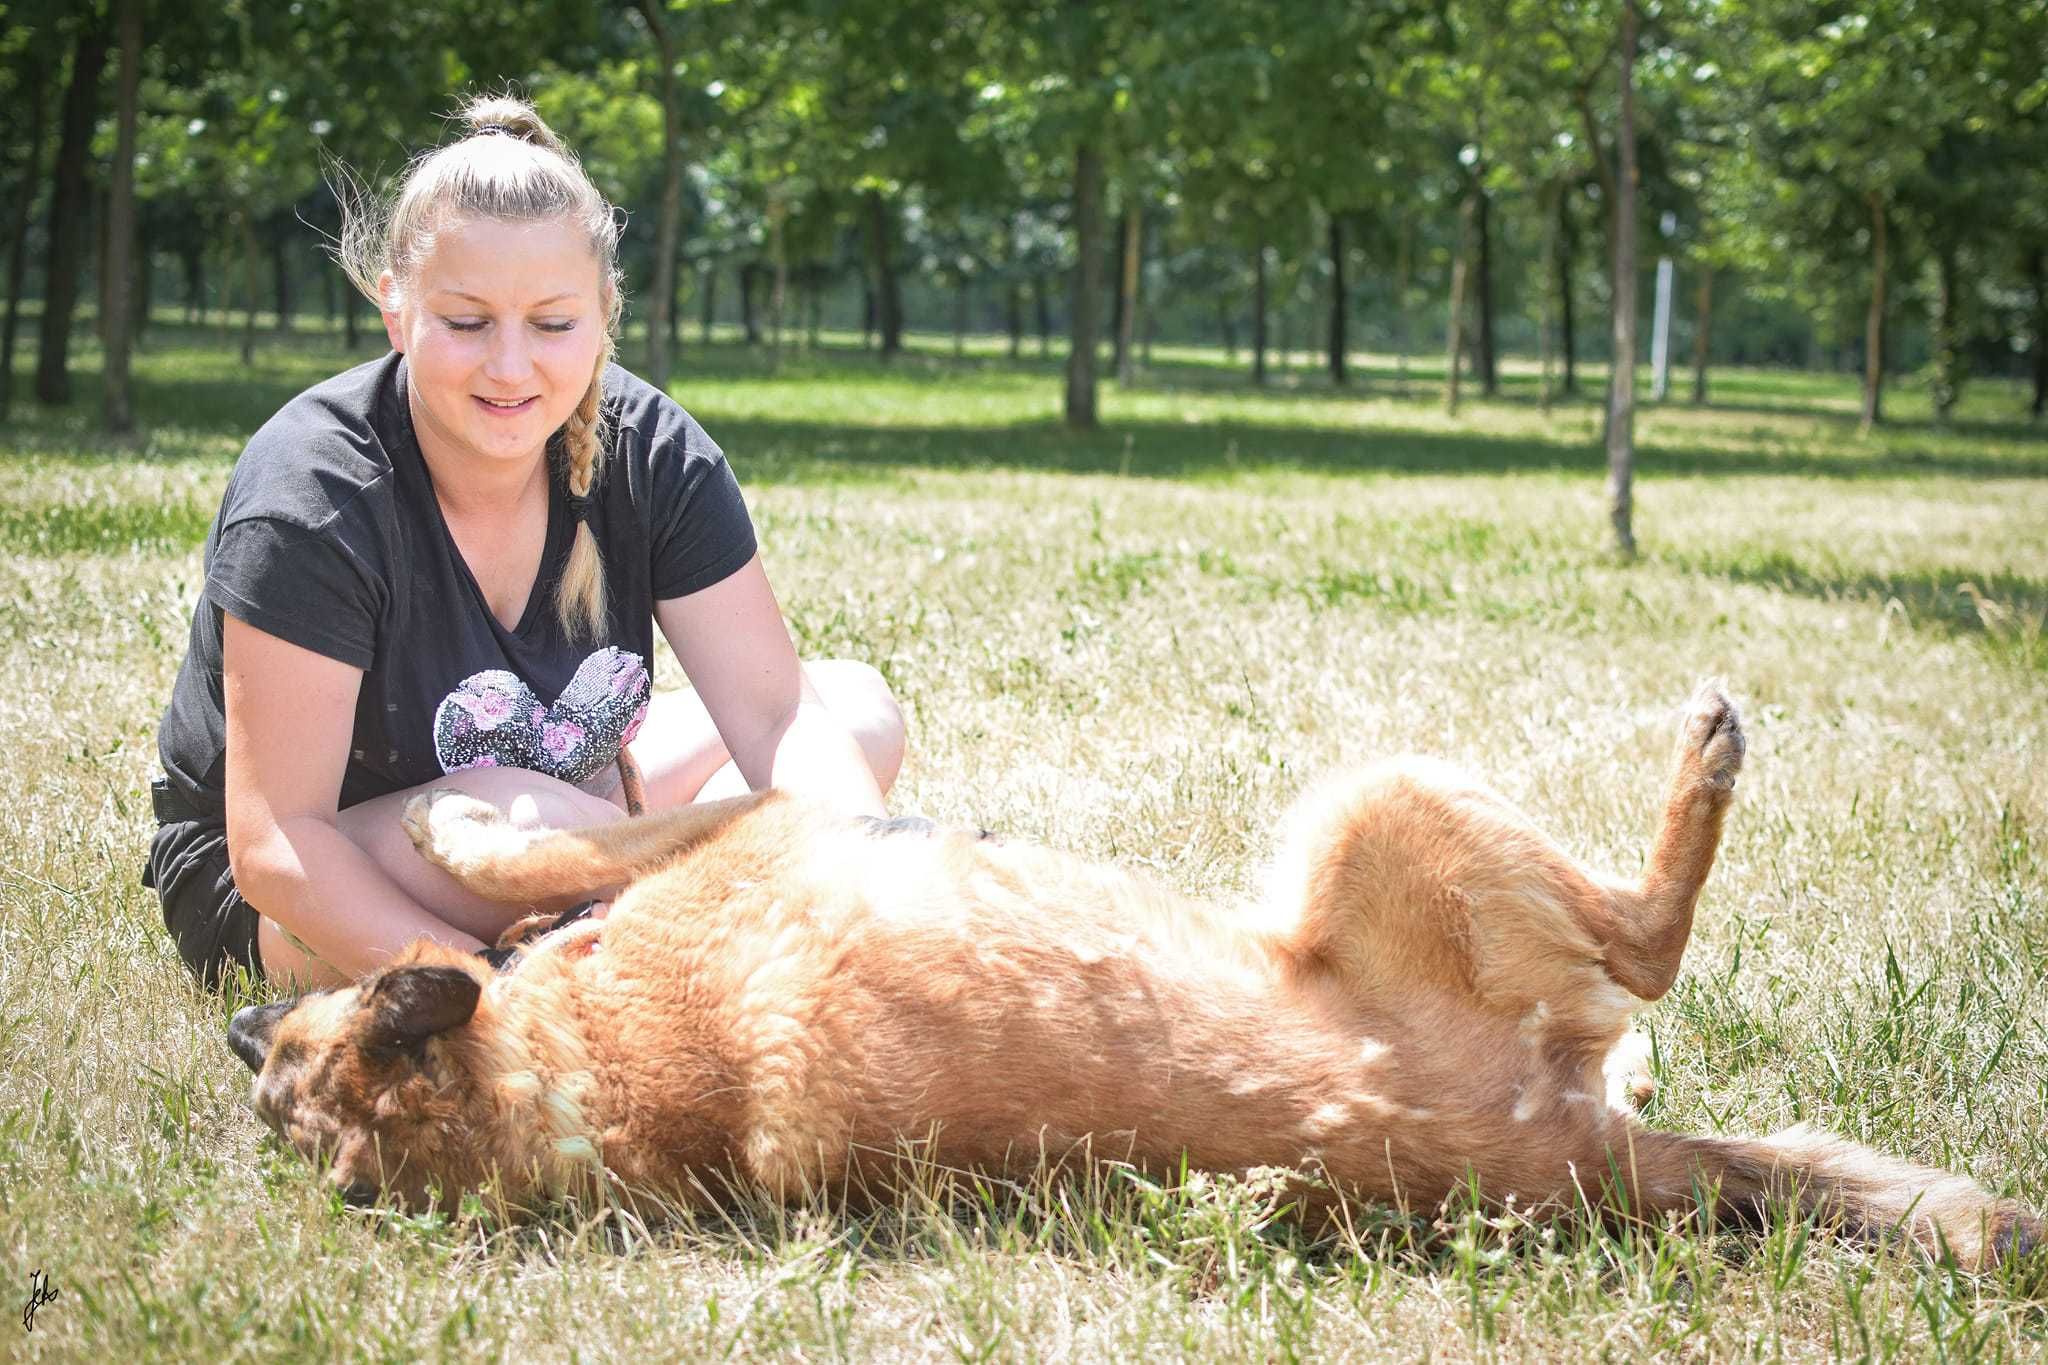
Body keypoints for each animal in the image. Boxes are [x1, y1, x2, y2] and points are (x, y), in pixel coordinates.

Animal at [232, 687, 2039, 1277]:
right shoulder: (750, 822)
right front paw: (466, 818)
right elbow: (532, 864)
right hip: (1377, 807)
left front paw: (462, 820)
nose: (245, 1017)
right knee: (1648, 945)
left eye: (275, 1081)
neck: (585, 1071)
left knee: (1646, 1017)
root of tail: (1580, 1165)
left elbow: (532, 868)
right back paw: (1700, 767)